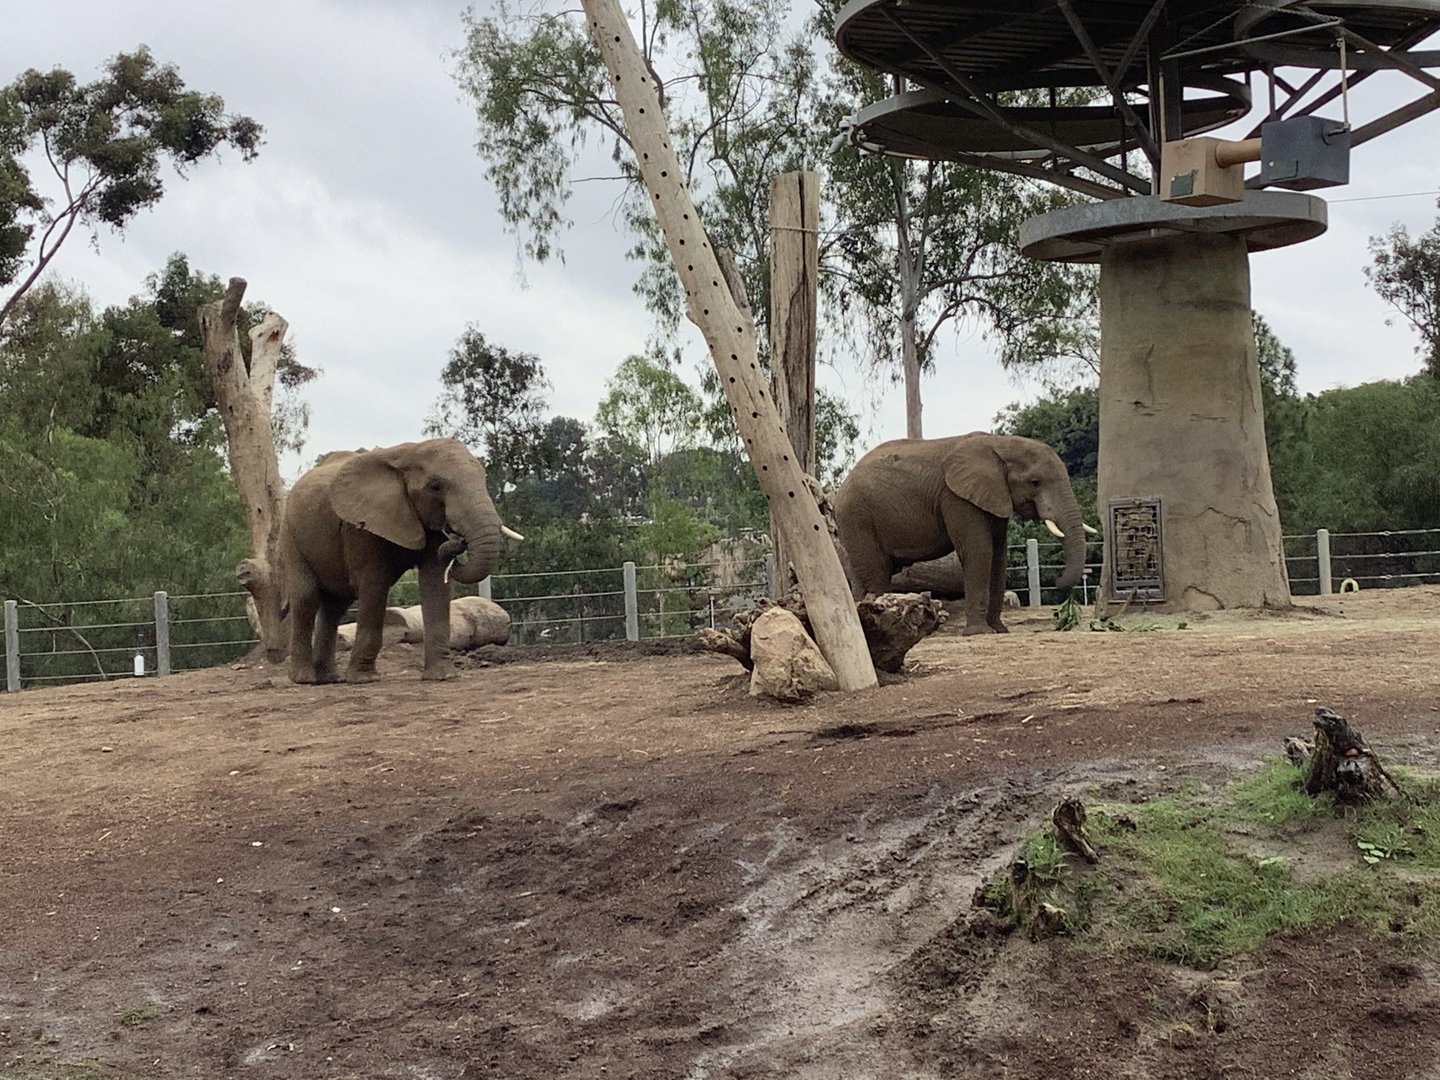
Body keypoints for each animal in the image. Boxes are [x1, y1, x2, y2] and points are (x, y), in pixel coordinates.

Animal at [279, 437, 520, 684]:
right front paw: (364, 679)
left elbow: (434, 581)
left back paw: (330, 678)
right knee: (307, 597)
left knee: (335, 606)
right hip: (290, 535)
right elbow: (374, 584)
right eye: (435, 486)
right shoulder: (360, 525)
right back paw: (305, 679)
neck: (408, 454)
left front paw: (443, 676)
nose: (458, 541)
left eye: (484, 479)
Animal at [833, 433, 1089, 636]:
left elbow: (999, 555)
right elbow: (979, 551)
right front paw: (980, 632)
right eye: (1035, 482)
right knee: (876, 574)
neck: (1001, 442)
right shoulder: (957, 498)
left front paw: (999, 630)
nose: (1057, 577)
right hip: (858, 516)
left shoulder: (993, 497)